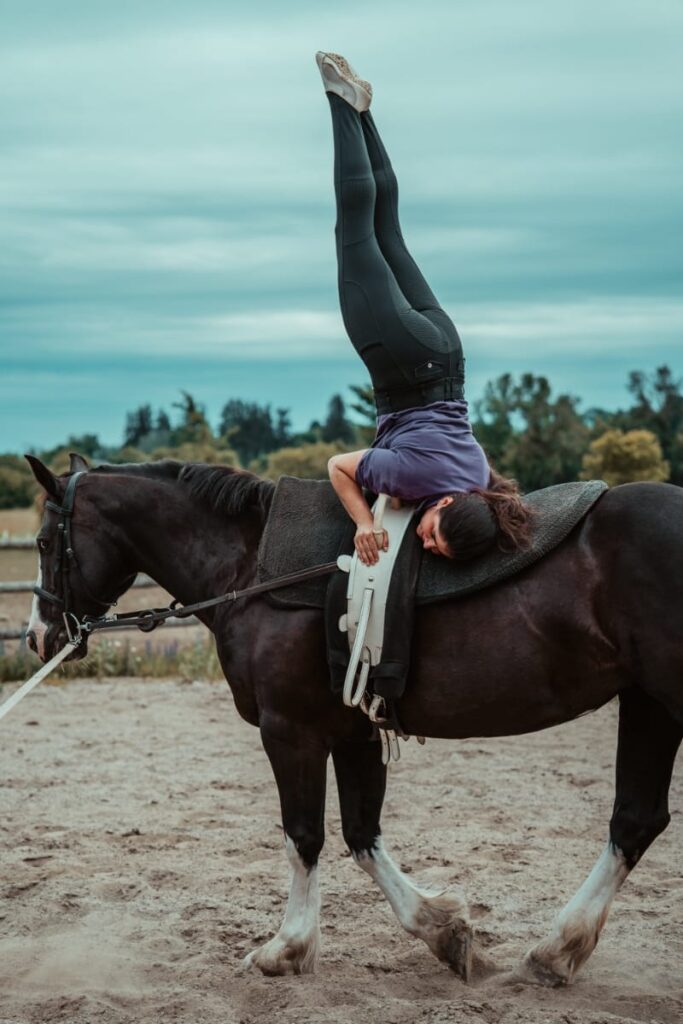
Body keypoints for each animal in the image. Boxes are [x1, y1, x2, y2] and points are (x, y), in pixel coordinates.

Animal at [24, 454, 679, 983]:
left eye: (44, 542)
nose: (37, 635)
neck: (250, 568)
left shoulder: (290, 731)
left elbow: (304, 837)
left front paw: (286, 948)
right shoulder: (354, 731)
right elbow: (363, 836)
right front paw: (441, 928)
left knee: (633, 822)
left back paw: (556, 949)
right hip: (650, 702)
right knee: (636, 821)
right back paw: (557, 951)